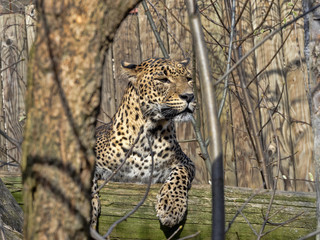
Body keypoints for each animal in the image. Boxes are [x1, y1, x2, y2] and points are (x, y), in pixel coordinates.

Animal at [90, 57, 195, 231]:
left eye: (188, 78)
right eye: (163, 80)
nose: (190, 96)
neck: (149, 135)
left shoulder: (185, 162)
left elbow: (180, 174)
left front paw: (172, 206)